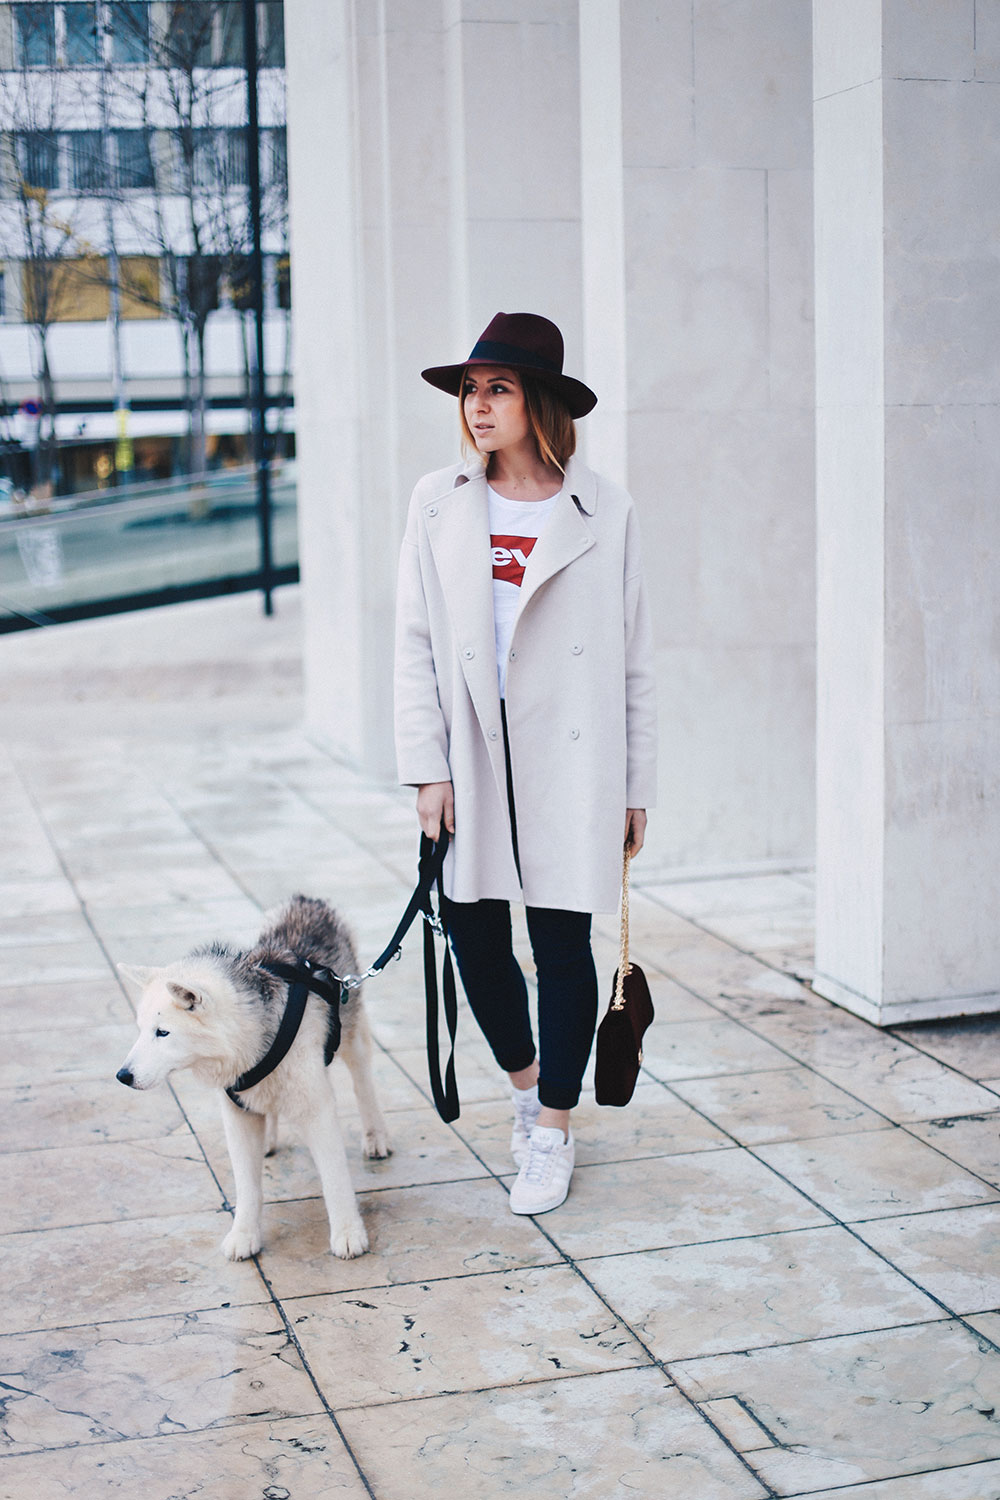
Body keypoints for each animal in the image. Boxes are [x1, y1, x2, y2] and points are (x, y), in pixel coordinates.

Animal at [113, 894, 386, 1260]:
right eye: (142, 1030)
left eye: (163, 1032)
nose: (122, 1076)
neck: (248, 1045)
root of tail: (307, 900)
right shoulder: (237, 1115)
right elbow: (247, 1186)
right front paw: (244, 1234)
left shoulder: (317, 1111)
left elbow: (334, 1179)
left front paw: (348, 1232)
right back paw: (269, 1137)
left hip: (351, 1035)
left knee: (363, 1082)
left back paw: (375, 1135)